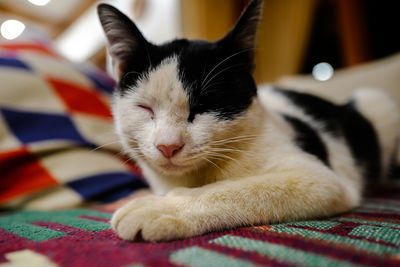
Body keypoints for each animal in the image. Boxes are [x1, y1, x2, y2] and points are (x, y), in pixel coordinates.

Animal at [97, 0, 400, 243]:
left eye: (203, 106)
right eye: (145, 107)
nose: (167, 146)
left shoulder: (320, 179)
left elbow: (237, 189)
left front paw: (162, 207)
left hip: (375, 102)